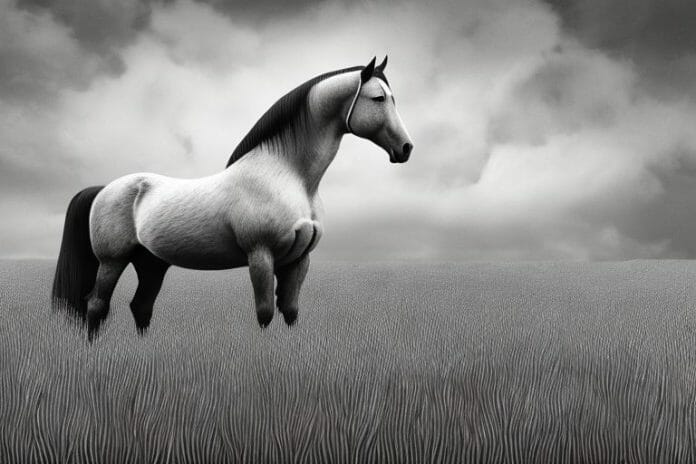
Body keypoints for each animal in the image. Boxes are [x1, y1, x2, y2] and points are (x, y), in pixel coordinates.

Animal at [51, 56, 413, 341]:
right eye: (378, 98)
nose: (406, 149)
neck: (288, 176)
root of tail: (104, 189)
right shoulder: (261, 255)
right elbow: (265, 313)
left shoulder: (299, 260)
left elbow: (291, 311)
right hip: (112, 260)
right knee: (96, 305)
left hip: (151, 262)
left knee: (141, 306)